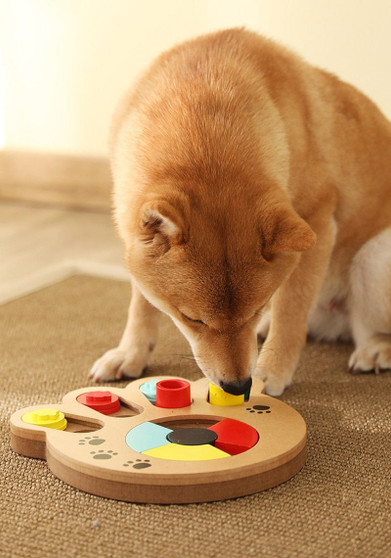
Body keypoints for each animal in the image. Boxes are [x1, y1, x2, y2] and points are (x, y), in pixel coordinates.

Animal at [89, 28, 391, 396]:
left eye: (255, 308)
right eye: (193, 319)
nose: (237, 386)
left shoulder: (317, 221)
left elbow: (292, 312)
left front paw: (271, 371)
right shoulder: (136, 238)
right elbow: (142, 304)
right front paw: (130, 352)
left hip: (373, 260)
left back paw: (376, 349)